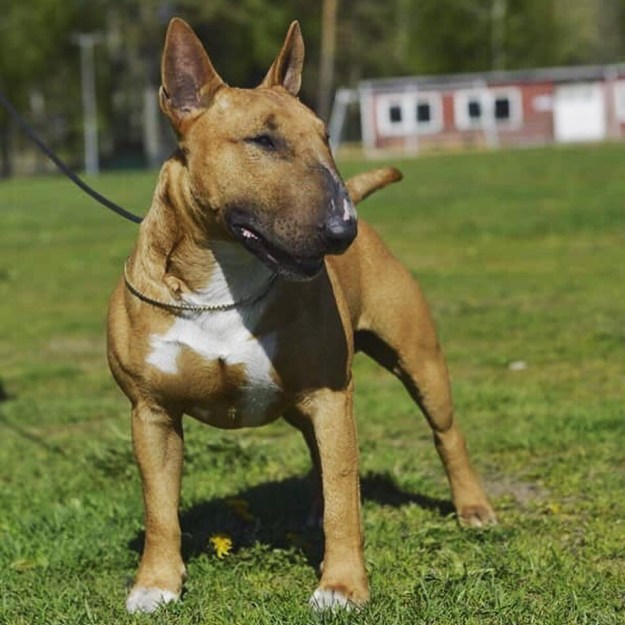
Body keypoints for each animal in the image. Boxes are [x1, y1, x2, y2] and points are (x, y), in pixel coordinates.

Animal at [107, 17, 496, 614]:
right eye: (262, 140)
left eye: (326, 137)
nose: (342, 230)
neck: (222, 284)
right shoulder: (151, 412)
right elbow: (159, 507)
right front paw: (155, 585)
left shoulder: (331, 394)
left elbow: (345, 498)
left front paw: (341, 586)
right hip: (300, 400)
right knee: (318, 452)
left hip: (417, 359)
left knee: (444, 432)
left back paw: (473, 508)